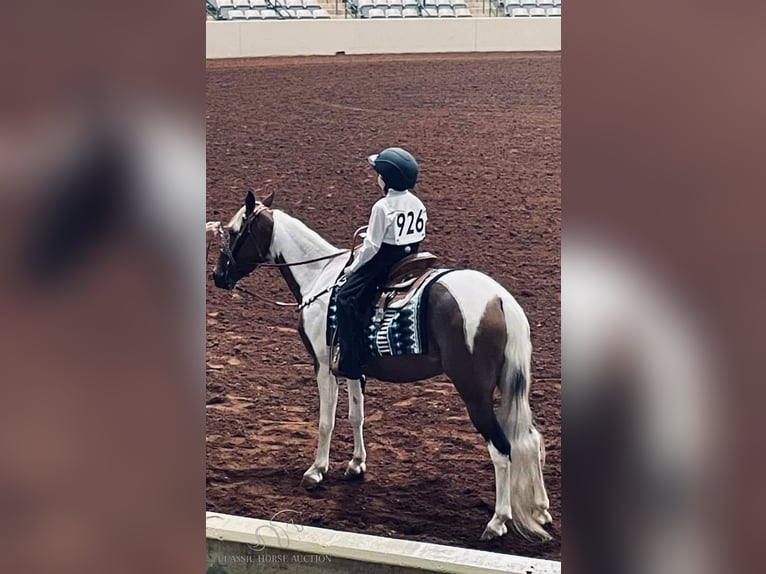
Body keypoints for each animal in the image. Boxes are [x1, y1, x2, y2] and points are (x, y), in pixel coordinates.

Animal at [208, 191, 552, 544]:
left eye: (234, 232)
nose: (218, 276)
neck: (321, 276)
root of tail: (499, 299)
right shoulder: (351, 367)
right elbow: (356, 415)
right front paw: (356, 465)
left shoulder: (323, 365)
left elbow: (326, 421)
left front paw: (316, 471)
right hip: (511, 387)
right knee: (530, 439)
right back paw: (540, 510)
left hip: (474, 393)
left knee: (502, 448)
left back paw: (498, 521)